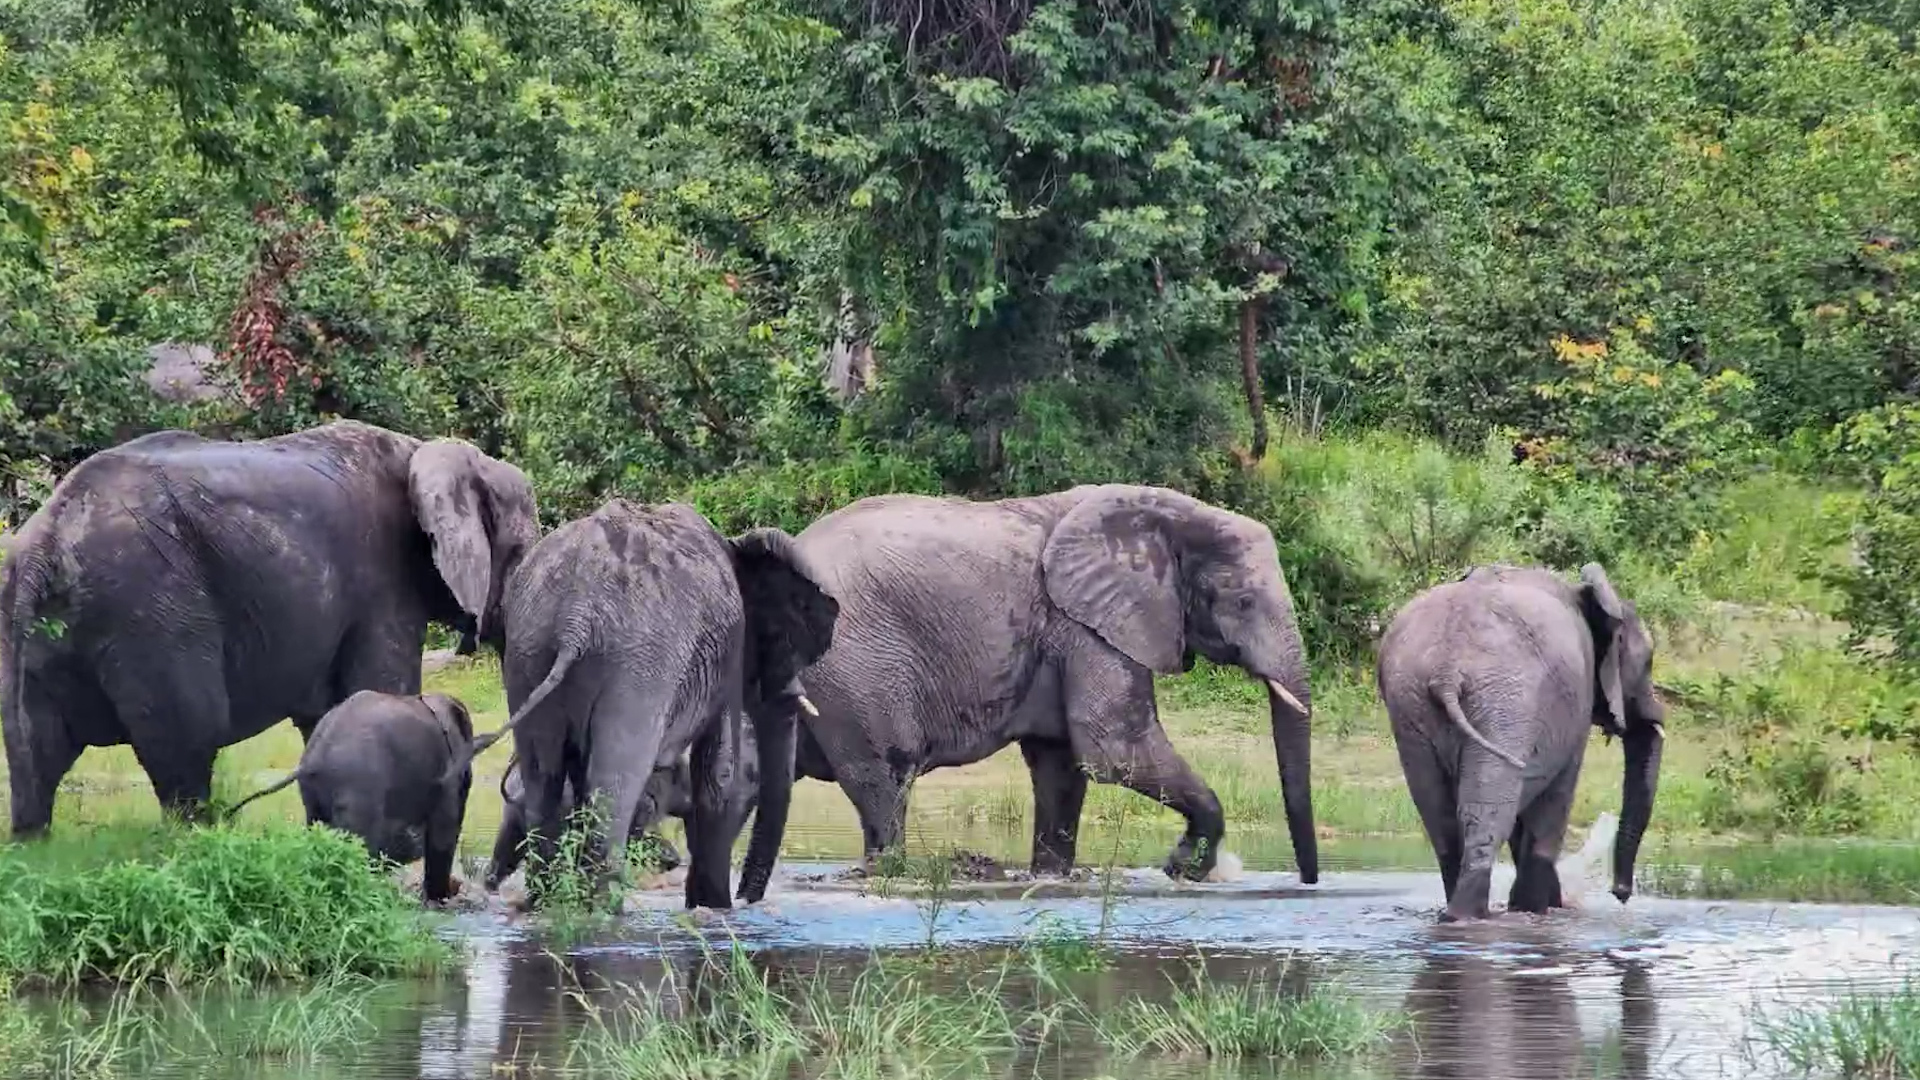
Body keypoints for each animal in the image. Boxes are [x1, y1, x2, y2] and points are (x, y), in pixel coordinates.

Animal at [0, 420, 538, 836]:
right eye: (519, 552)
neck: (422, 451)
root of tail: (46, 540)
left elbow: (327, 713)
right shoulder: (383, 583)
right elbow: (381, 690)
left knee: (37, 750)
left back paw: (34, 840)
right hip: (148, 603)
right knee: (190, 734)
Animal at [227, 689, 513, 902]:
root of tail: (313, 759)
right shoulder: (447, 769)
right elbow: (444, 829)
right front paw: (439, 900)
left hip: (314, 795)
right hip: (359, 786)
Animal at [760, 483, 1319, 888]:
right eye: (1243, 601)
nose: (1307, 883)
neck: (1171, 513)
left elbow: (1061, 764)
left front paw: (1051, 880)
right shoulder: (1085, 626)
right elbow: (1114, 748)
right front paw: (1185, 867)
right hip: (851, 668)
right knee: (883, 779)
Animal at [1377, 562, 1666, 922]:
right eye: (1648, 662)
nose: (1621, 893)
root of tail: (1446, 670)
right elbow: (1554, 799)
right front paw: (1536, 911)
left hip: (1411, 706)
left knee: (1442, 822)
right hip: (1504, 701)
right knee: (1486, 815)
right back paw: (1469, 915)